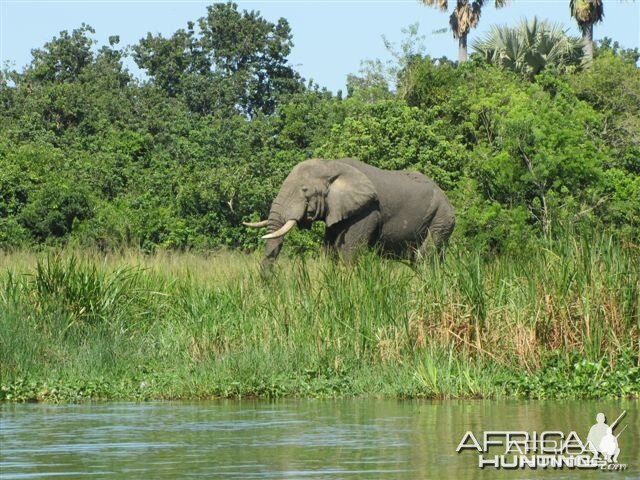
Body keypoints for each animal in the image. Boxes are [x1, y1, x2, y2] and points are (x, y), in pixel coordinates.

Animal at [244, 159, 456, 268]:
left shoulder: (366, 211)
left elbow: (348, 252)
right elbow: (330, 251)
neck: (331, 165)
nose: (267, 285)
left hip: (440, 219)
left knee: (425, 258)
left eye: (304, 190)